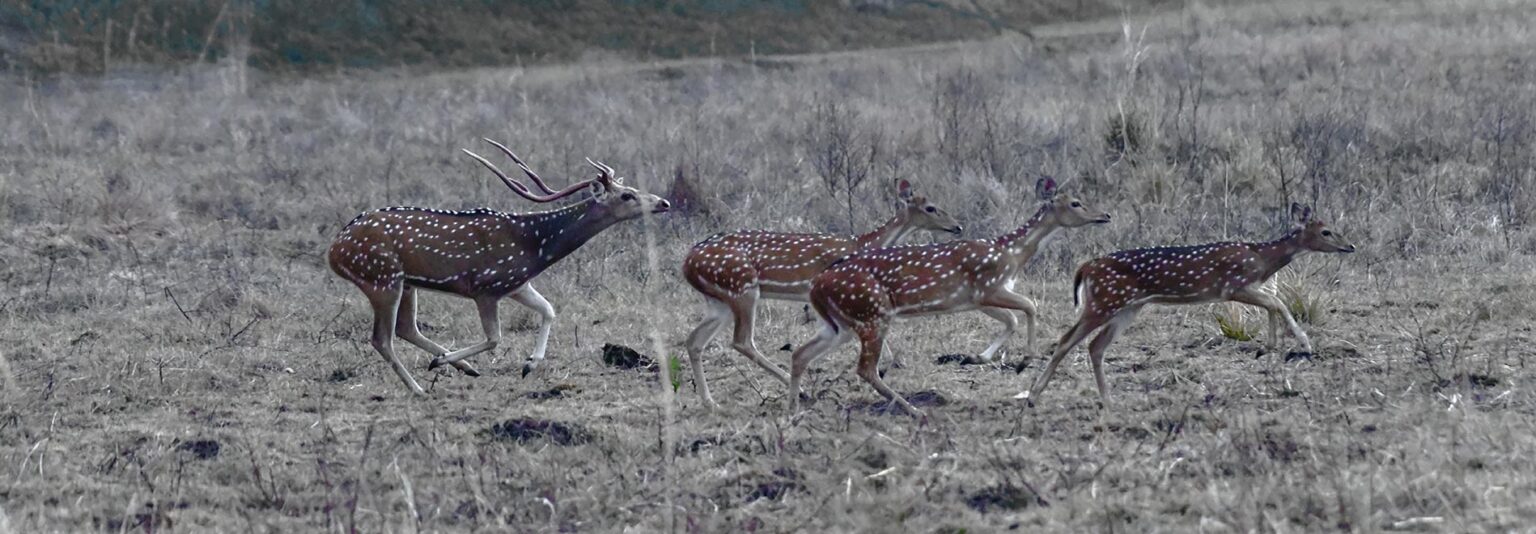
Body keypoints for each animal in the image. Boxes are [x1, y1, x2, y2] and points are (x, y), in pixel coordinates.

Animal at [327, 139, 669, 392]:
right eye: (627, 195)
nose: (663, 202)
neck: (534, 247)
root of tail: (334, 250)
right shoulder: (486, 286)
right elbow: (495, 338)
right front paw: (446, 363)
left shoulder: (516, 283)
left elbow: (549, 310)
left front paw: (530, 364)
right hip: (381, 277)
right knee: (381, 338)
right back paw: (420, 386)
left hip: (406, 282)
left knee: (405, 328)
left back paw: (463, 367)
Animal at [681, 179, 958, 408]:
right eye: (931, 208)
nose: (957, 226)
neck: (863, 244)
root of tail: (688, 262)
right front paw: (889, 364)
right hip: (743, 287)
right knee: (741, 340)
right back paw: (799, 390)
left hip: (719, 301)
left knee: (695, 340)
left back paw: (710, 402)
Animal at [792, 179, 1105, 417]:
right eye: (1075, 202)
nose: (1105, 216)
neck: (1013, 255)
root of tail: (817, 286)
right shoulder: (988, 287)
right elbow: (1030, 306)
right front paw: (1024, 361)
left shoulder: (976, 299)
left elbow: (1012, 318)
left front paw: (977, 357)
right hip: (872, 312)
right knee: (865, 368)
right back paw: (913, 409)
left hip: (840, 323)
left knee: (800, 353)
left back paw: (793, 408)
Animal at [1019, 204, 1357, 405]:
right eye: (1326, 231)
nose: (1350, 246)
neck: (1262, 259)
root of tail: (1086, 267)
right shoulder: (1232, 286)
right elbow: (1278, 302)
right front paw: (1301, 345)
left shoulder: (1244, 288)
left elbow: (1274, 304)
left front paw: (1271, 347)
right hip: (1105, 300)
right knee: (1067, 340)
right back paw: (1033, 395)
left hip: (1127, 306)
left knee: (1095, 346)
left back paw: (1107, 399)